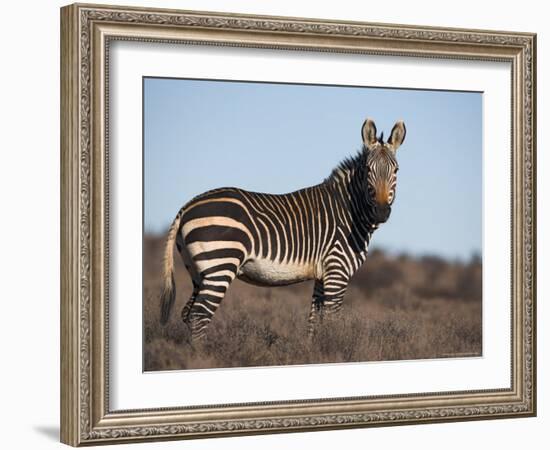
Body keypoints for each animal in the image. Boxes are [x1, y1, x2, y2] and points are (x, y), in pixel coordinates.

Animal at [158, 118, 406, 340]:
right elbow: (332, 321)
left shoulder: (322, 275)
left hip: (199, 271)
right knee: (199, 316)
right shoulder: (337, 271)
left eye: (396, 170)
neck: (349, 211)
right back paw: (202, 355)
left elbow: (314, 322)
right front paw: (336, 349)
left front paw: (313, 352)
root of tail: (187, 206)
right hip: (221, 264)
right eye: (367, 170)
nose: (381, 212)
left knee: (188, 314)